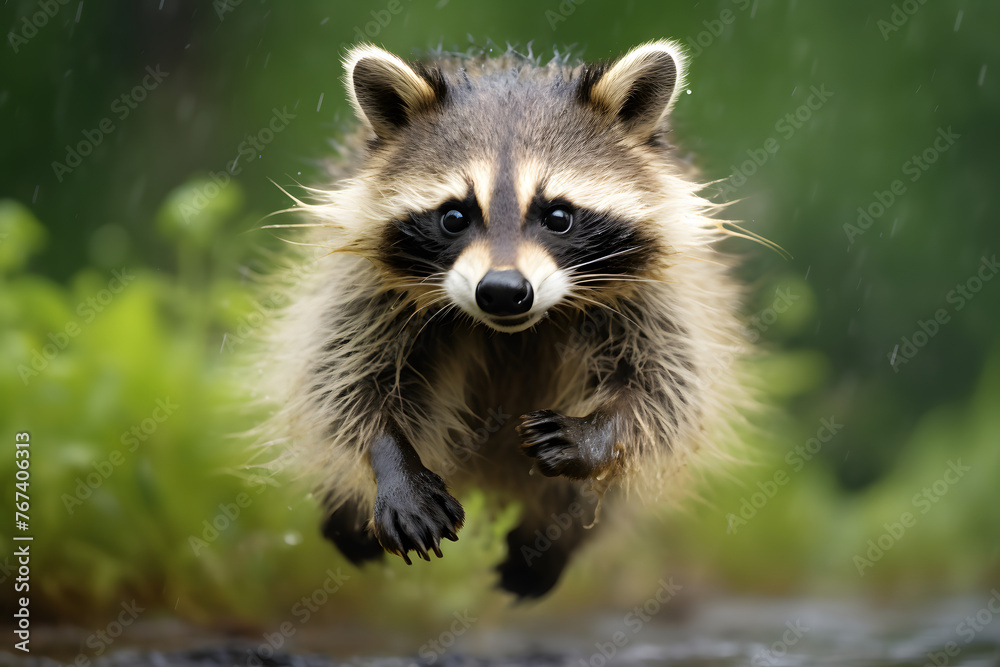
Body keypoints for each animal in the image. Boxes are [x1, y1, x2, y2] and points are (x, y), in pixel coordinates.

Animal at [265, 40, 747, 599]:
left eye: (558, 216)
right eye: (454, 216)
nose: (501, 291)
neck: (511, 332)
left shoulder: (661, 293)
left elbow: (668, 389)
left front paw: (597, 431)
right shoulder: (361, 288)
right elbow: (343, 384)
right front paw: (393, 462)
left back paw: (554, 540)